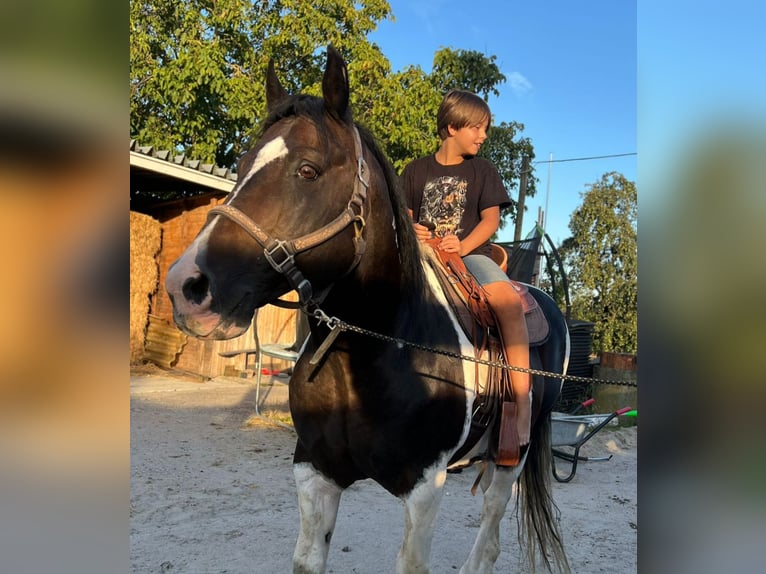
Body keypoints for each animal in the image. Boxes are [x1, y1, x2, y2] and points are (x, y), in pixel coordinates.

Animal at [165, 46, 571, 574]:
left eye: (309, 170)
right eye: (242, 164)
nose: (186, 286)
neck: (379, 348)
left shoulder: (424, 489)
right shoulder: (314, 474)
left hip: (511, 460)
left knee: (488, 539)